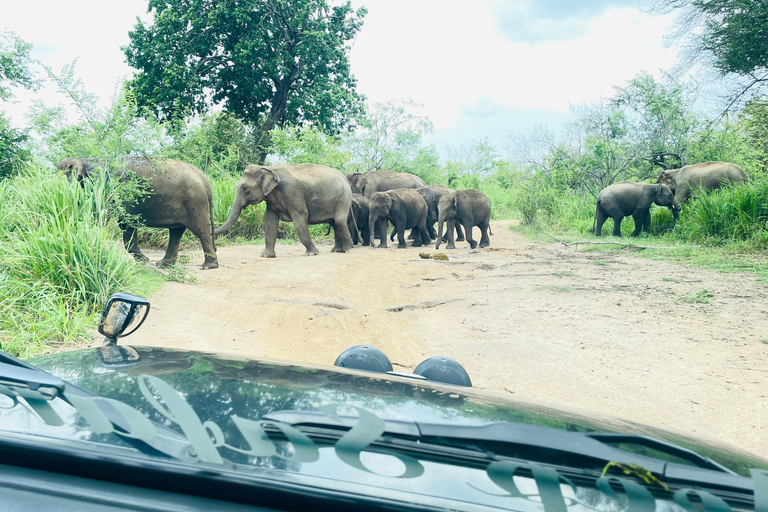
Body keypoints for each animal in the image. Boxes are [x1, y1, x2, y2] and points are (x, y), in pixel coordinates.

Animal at [57, 156, 216, 270]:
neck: (87, 160)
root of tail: (205, 180)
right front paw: (144, 261)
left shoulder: (111, 189)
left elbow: (111, 220)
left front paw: (144, 261)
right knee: (176, 231)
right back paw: (163, 265)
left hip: (195, 201)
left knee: (200, 229)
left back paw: (207, 266)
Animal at [213, 164, 352, 258]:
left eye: (245, 188)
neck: (269, 168)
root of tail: (344, 177)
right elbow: (269, 221)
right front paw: (265, 255)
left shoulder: (293, 192)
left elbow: (300, 218)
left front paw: (312, 254)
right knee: (334, 223)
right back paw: (336, 250)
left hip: (343, 198)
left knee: (339, 221)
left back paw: (348, 249)